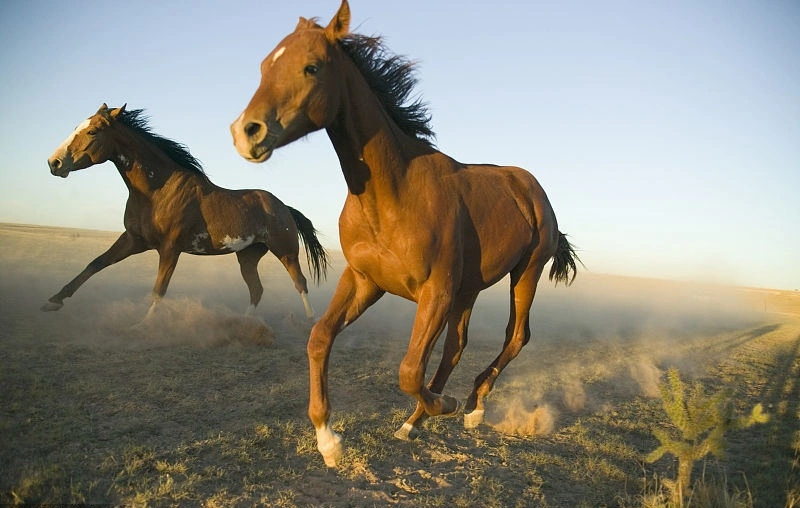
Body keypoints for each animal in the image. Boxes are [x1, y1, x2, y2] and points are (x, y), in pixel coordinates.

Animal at [42, 101, 324, 320]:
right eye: (76, 128)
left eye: (92, 132)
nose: (54, 163)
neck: (157, 190)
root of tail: (284, 207)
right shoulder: (133, 240)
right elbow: (95, 264)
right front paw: (53, 301)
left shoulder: (170, 248)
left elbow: (159, 290)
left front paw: (144, 325)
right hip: (248, 256)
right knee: (257, 290)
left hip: (285, 251)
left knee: (300, 282)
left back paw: (310, 321)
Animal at [228, 0, 580, 468]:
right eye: (265, 65)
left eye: (312, 67)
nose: (246, 132)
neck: (393, 193)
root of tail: (529, 185)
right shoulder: (365, 281)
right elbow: (320, 338)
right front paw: (328, 439)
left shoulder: (435, 292)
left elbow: (410, 370)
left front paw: (446, 404)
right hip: (468, 289)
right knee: (456, 346)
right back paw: (415, 422)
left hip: (526, 272)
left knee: (515, 336)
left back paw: (472, 406)